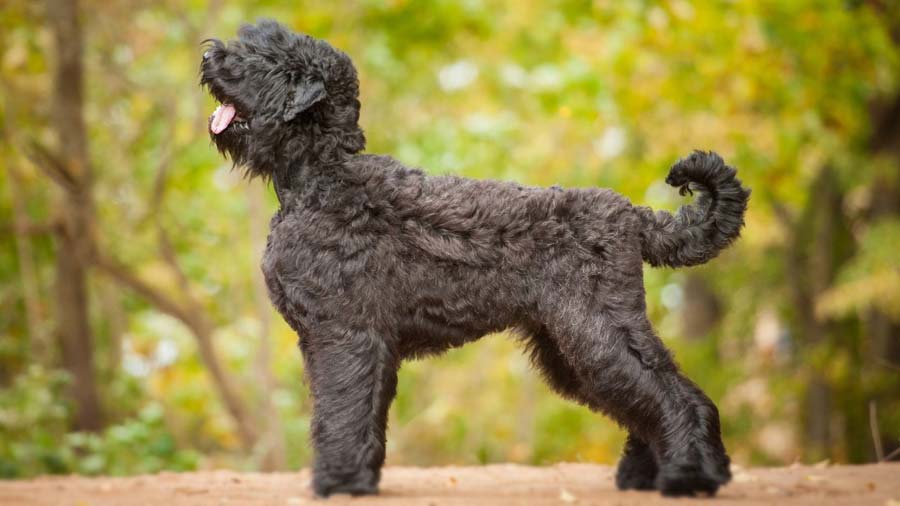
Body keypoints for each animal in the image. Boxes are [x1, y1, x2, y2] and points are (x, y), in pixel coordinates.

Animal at [200, 20, 748, 498]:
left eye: (266, 58)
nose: (209, 56)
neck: (322, 178)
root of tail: (634, 215)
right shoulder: (354, 341)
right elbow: (361, 413)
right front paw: (360, 478)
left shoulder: (343, 332)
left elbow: (341, 409)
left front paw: (338, 483)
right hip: (569, 346)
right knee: (651, 400)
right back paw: (652, 475)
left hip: (596, 332)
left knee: (673, 396)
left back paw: (689, 477)